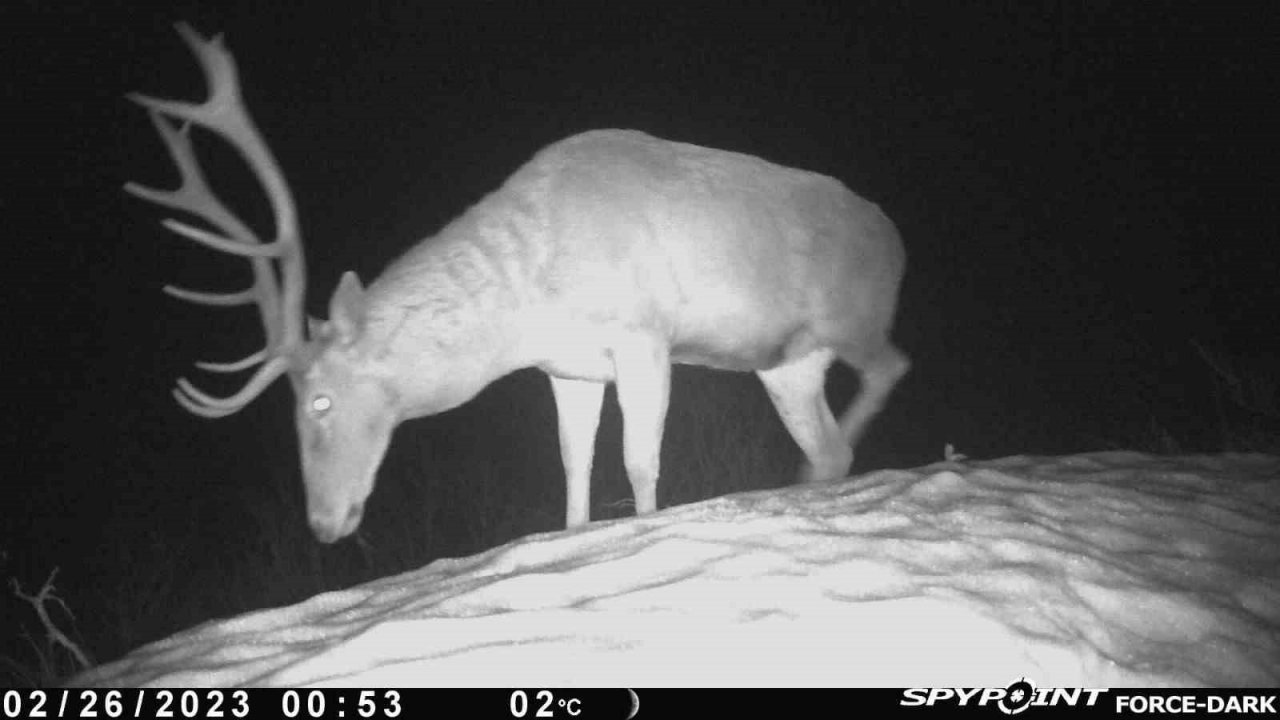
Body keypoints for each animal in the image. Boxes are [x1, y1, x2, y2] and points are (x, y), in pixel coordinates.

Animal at [127, 23, 911, 543]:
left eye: (318, 401)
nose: (323, 524)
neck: (531, 302)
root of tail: (896, 239)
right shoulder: (568, 368)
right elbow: (573, 468)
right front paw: (574, 537)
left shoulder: (644, 333)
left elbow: (639, 462)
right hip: (786, 364)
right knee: (832, 441)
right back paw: (817, 475)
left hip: (854, 315)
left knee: (892, 366)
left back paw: (816, 474)